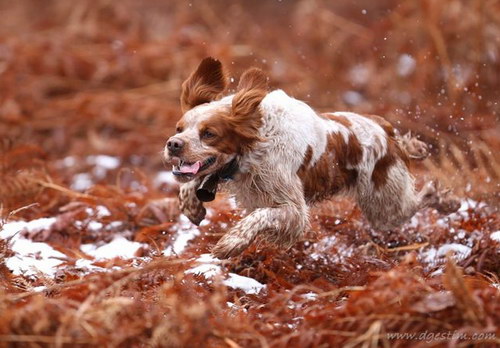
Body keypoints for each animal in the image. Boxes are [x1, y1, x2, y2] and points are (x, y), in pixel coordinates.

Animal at [164, 57, 460, 258]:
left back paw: (448, 201)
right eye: (179, 128)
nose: (173, 145)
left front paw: (232, 242)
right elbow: (190, 184)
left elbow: (259, 215)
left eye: (209, 134)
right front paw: (192, 207)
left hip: (385, 206)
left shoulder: (294, 211)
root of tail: (385, 129)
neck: (253, 150)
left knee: (421, 198)